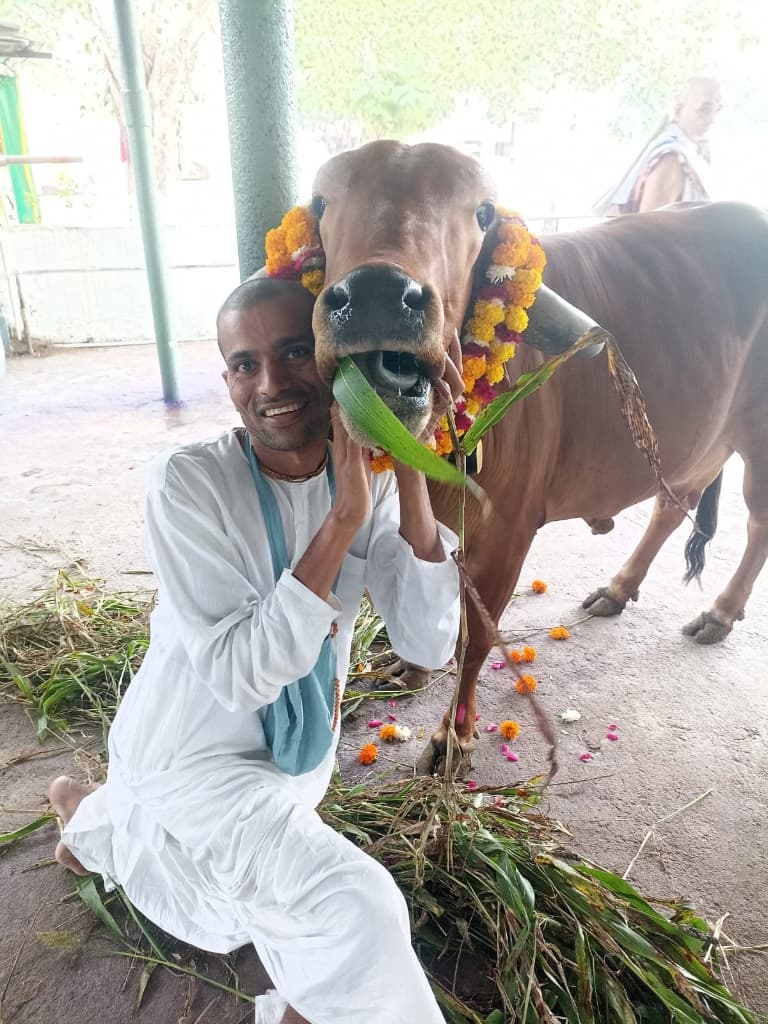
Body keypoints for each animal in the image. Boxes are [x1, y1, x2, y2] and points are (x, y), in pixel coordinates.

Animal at [309, 140, 768, 770]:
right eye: (321, 201)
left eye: (482, 213)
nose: (379, 294)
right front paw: (412, 664)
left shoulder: (509, 527)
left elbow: (476, 634)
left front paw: (452, 738)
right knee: (672, 505)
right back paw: (617, 590)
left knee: (757, 523)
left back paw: (720, 613)